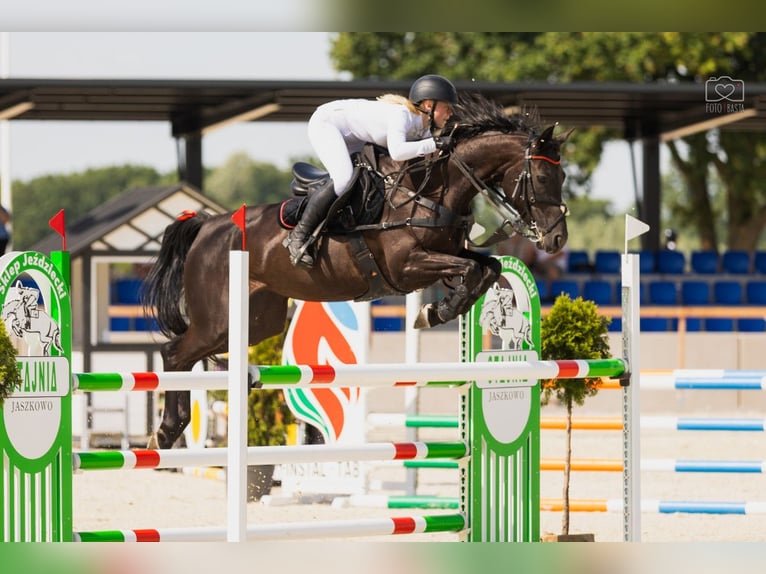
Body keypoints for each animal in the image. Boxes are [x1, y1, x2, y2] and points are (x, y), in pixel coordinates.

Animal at [142, 93, 570, 449]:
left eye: (563, 176)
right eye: (542, 177)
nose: (557, 239)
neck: (428, 190)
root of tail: (208, 226)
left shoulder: (447, 253)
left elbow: (488, 267)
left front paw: (437, 310)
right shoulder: (406, 266)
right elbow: (469, 269)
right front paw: (435, 311)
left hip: (256, 320)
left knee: (192, 353)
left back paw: (171, 430)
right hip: (217, 320)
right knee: (174, 352)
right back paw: (166, 430)